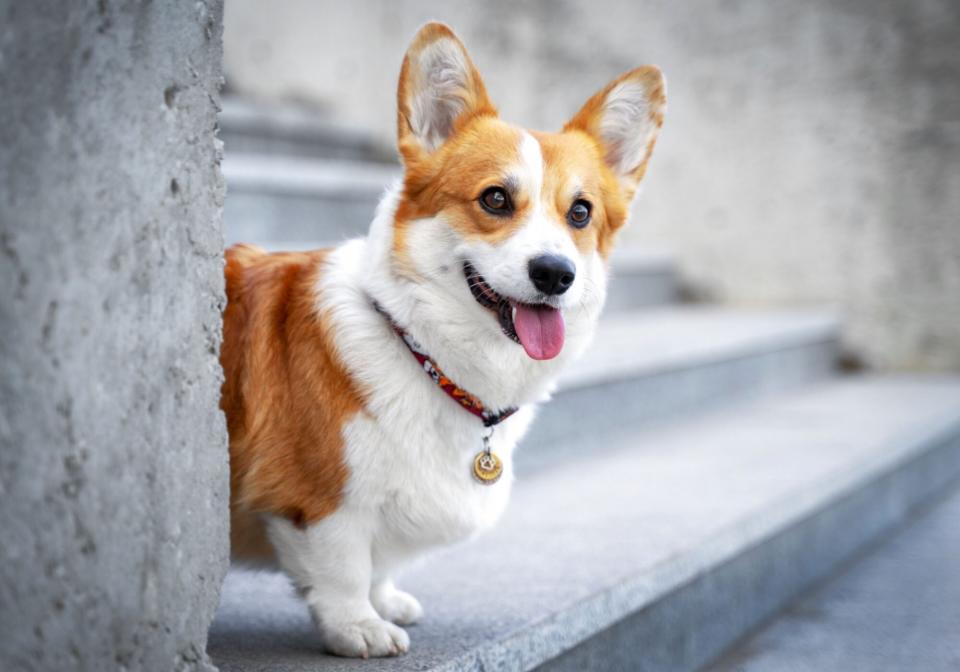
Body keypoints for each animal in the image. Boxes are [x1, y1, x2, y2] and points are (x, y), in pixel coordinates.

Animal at [220, 22, 664, 660]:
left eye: (580, 213)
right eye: (495, 199)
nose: (555, 273)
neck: (421, 346)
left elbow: (376, 567)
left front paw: (385, 600)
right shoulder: (318, 502)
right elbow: (343, 568)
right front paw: (359, 626)